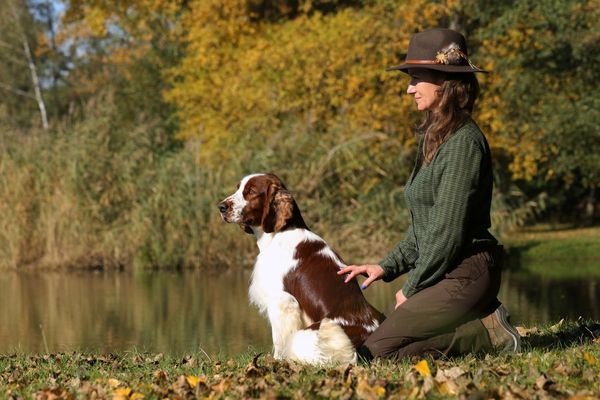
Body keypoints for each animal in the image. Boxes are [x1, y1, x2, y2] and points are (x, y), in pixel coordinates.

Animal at [217, 173, 384, 364]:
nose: (221, 207)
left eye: (251, 191)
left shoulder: (282, 302)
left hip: (309, 334)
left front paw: (276, 361)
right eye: (238, 188)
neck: (280, 232)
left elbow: (279, 341)